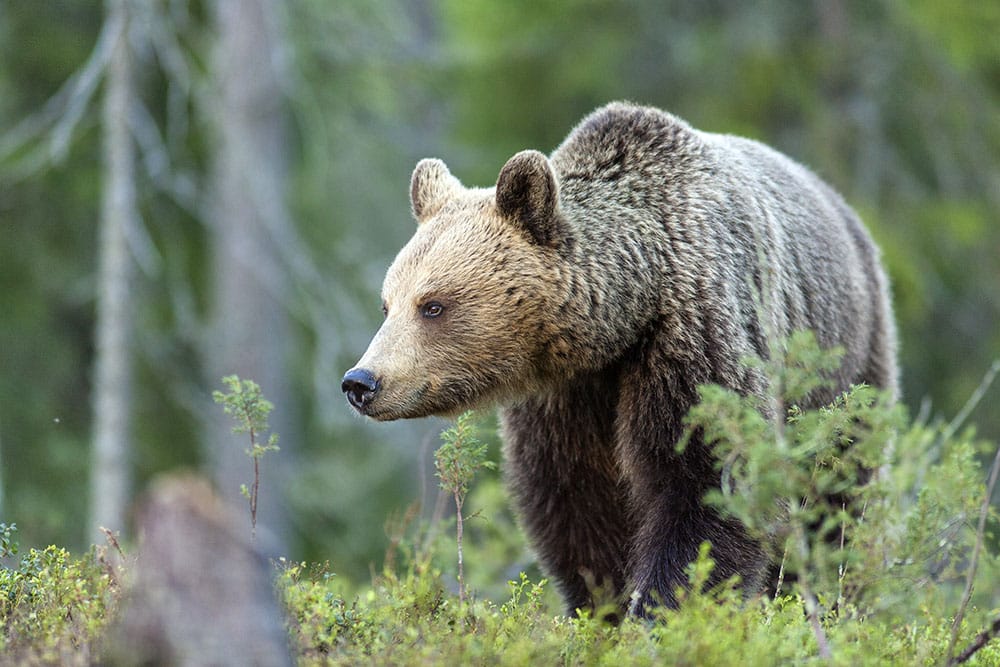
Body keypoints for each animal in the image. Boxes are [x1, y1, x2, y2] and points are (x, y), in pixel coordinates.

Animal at [342, 102, 900, 620]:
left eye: (433, 305)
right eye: (387, 304)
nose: (361, 382)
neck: (624, 317)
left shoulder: (691, 340)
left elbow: (706, 480)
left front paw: (661, 611)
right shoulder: (565, 397)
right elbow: (575, 501)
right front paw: (602, 607)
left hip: (847, 360)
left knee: (837, 494)